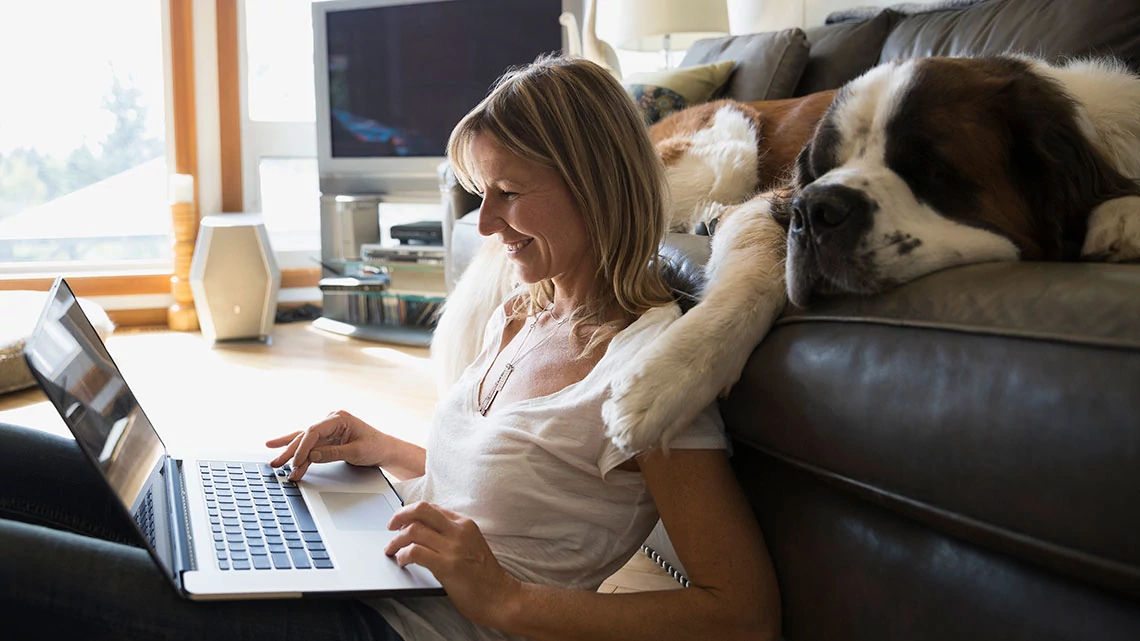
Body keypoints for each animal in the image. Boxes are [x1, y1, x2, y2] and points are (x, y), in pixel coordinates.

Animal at [601, 56, 1140, 453]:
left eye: (927, 169)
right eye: (819, 169)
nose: (813, 208)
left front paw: (1121, 217)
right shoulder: (768, 204)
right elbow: (752, 281)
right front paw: (665, 379)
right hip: (729, 148)